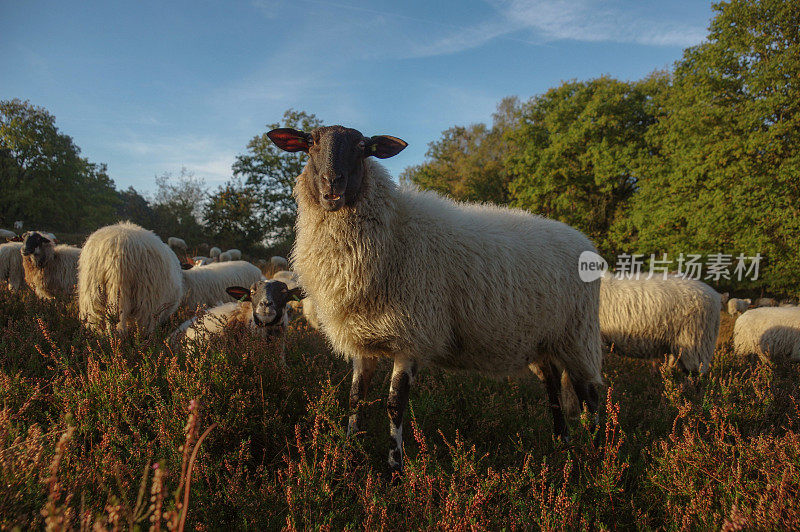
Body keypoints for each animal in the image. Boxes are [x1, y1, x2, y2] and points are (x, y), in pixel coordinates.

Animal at [268, 125, 600, 474]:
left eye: (361, 147)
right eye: (310, 143)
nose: (333, 182)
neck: (394, 232)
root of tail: (582, 238)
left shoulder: (413, 335)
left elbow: (394, 405)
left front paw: (395, 469)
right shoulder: (362, 340)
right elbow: (356, 398)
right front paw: (349, 458)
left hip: (578, 333)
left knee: (589, 394)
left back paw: (595, 455)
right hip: (540, 339)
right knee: (552, 386)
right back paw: (562, 442)